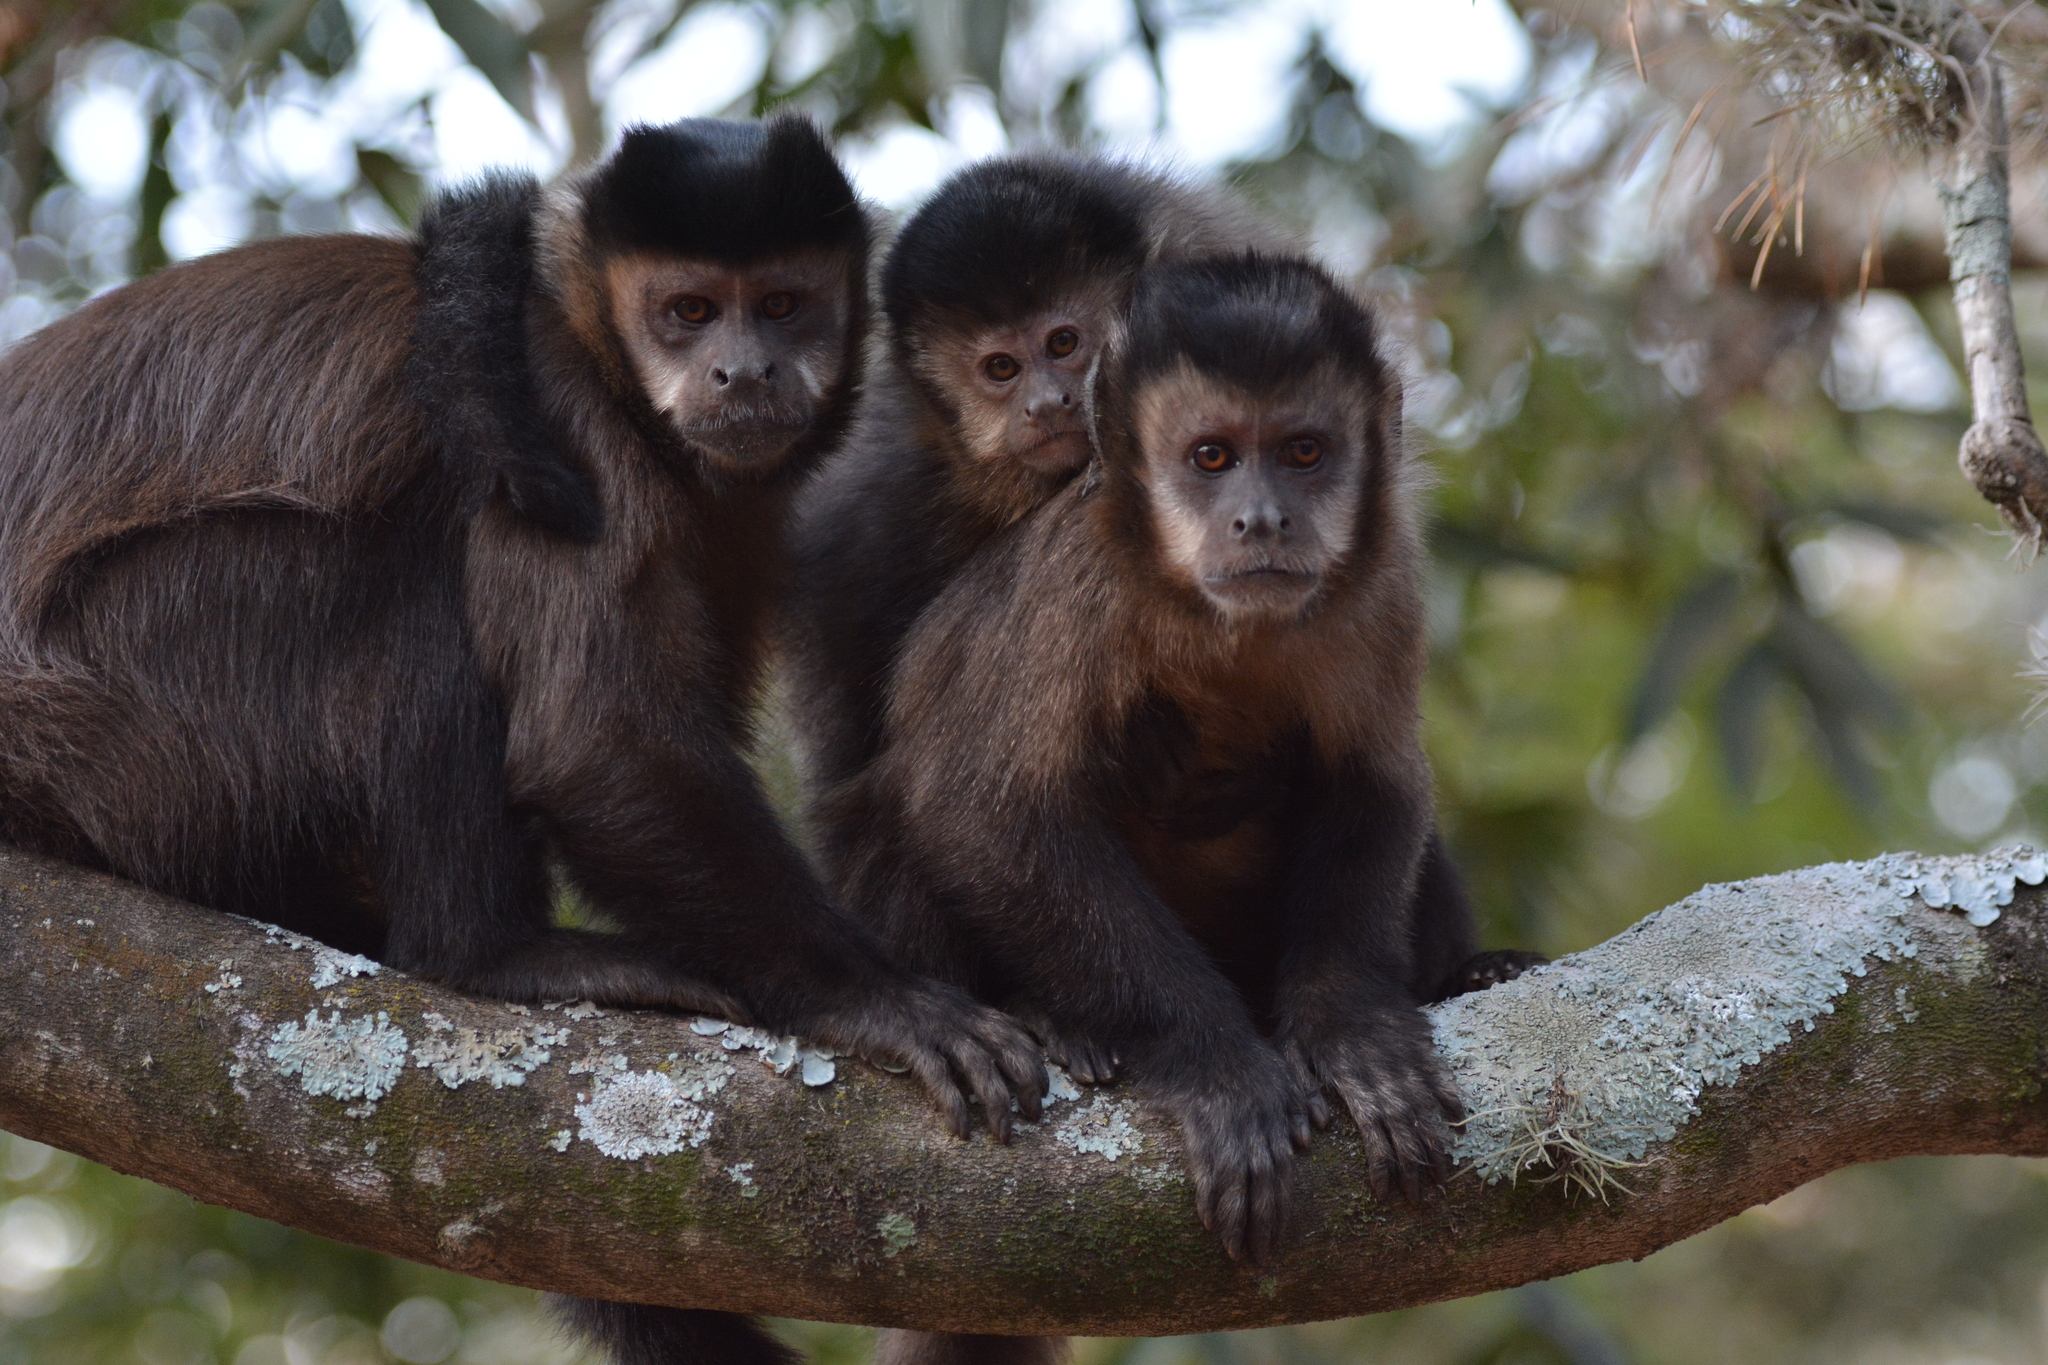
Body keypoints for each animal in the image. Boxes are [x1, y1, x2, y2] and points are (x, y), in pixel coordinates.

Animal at [0, 114, 1048, 1365]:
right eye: (689, 311)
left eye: (784, 304)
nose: (743, 369)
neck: (600, 350)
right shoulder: (561, 421)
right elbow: (593, 742)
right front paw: (875, 1000)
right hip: (121, 717)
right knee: (417, 580)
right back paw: (487, 953)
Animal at [847, 255, 1523, 1365]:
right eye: (1210, 457)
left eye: (1302, 452)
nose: (1261, 519)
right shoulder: (1078, 584)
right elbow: (980, 811)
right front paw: (1217, 1069)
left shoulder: (1382, 581)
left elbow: (1376, 785)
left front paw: (1354, 1034)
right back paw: (1059, 1019)